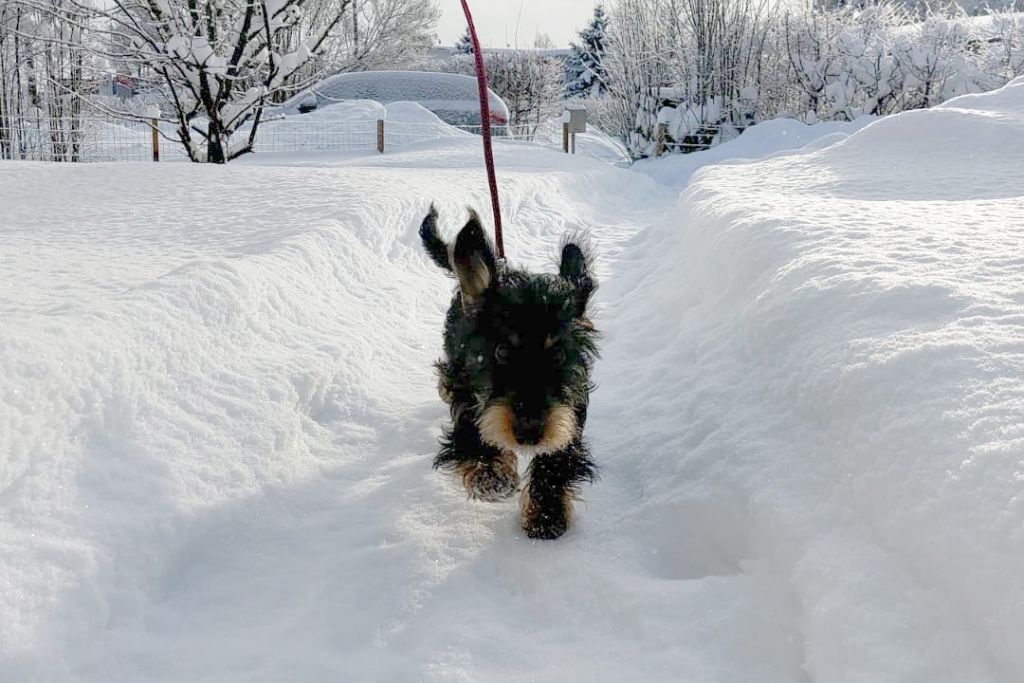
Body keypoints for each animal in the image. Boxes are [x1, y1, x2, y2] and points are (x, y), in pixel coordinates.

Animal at [419, 204, 598, 540]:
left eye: (558, 355)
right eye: (501, 351)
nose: (529, 431)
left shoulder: (572, 409)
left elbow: (558, 453)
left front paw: (546, 515)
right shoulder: (467, 390)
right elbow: (469, 430)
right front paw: (490, 474)